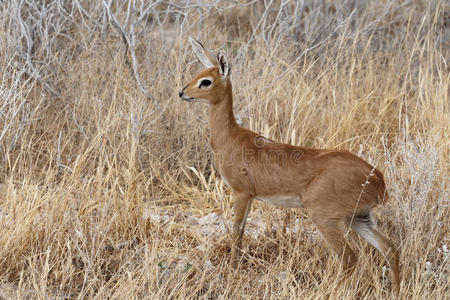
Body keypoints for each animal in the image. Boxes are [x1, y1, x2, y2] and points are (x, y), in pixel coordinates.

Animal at [179, 38, 400, 296]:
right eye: (197, 74)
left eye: (206, 81)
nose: (182, 92)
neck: (230, 138)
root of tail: (377, 179)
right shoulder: (250, 197)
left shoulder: (242, 193)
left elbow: (237, 233)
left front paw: (232, 271)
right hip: (360, 217)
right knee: (389, 247)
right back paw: (397, 289)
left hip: (325, 218)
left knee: (349, 258)